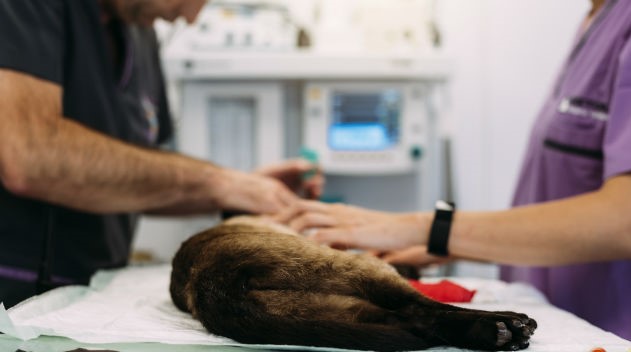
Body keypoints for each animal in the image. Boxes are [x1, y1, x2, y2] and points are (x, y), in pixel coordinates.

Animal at [170, 216, 536, 350]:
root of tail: (208, 278)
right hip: (367, 272)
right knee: (423, 309)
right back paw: (508, 327)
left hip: (346, 310)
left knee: (417, 322)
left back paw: (497, 334)